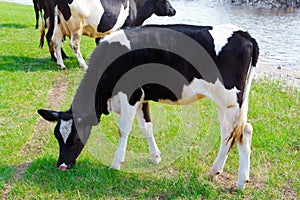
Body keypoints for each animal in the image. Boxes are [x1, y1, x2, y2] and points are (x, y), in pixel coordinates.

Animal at [37, 24, 258, 190]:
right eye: (57, 137)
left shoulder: (129, 93)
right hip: (225, 102)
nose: (62, 166)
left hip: (231, 98)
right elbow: (146, 127)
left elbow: (124, 129)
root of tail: (244, 34)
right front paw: (155, 157)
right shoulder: (141, 97)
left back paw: (240, 182)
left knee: (241, 132)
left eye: (75, 139)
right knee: (230, 132)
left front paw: (116, 164)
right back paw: (215, 171)